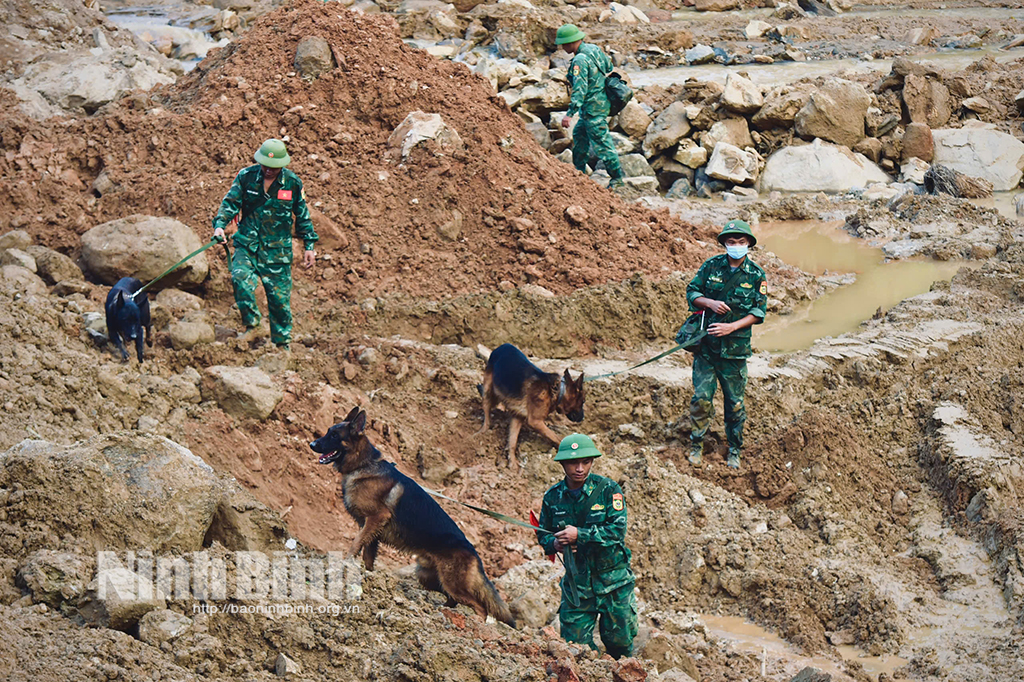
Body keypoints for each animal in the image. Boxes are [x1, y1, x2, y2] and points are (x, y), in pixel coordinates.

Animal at [309, 405, 520, 622]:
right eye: (328, 431)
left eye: (335, 435)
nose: (312, 444)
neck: (364, 464)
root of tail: (474, 553)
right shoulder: (372, 531)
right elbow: (367, 556)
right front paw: (369, 578)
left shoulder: (376, 518)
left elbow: (355, 543)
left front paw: (344, 564)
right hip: (428, 576)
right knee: (453, 599)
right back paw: (442, 612)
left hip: (451, 582)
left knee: (480, 607)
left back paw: (473, 622)